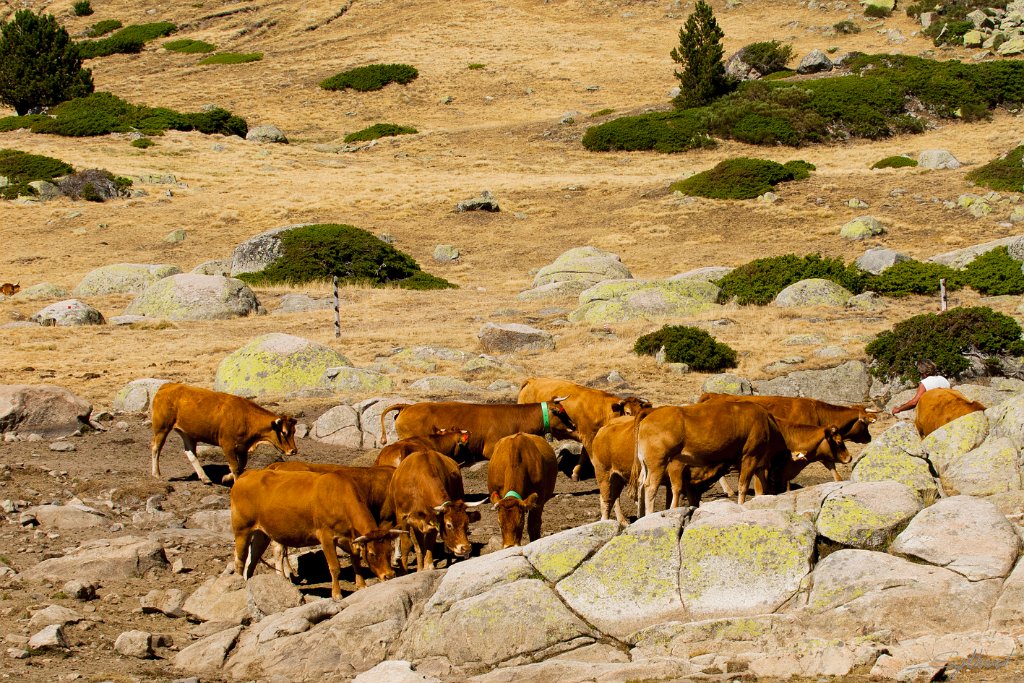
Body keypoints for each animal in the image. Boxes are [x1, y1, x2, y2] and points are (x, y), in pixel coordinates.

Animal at [150, 383, 298, 485]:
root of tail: (168, 385)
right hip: (162, 428)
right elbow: (235, 466)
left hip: (187, 433)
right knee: (156, 448)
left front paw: (226, 477)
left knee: (190, 453)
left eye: (294, 432)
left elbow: (240, 466)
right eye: (284, 432)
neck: (246, 417)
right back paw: (156, 474)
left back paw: (205, 478)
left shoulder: (243, 448)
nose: (293, 451)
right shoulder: (227, 445)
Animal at [230, 469, 401, 598]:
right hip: (241, 530)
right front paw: (337, 594)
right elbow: (334, 567)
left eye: (389, 551)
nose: (389, 575)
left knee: (252, 559)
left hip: (262, 533)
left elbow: (356, 560)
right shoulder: (326, 536)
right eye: (372, 554)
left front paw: (362, 585)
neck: (338, 497)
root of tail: (247, 474)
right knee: (240, 559)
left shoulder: (349, 538)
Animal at [517, 377, 652, 480]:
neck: (602, 411)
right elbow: (592, 458)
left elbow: (584, 456)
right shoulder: (588, 436)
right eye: (628, 412)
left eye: (640, 412)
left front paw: (575, 474)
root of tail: (532, 380)